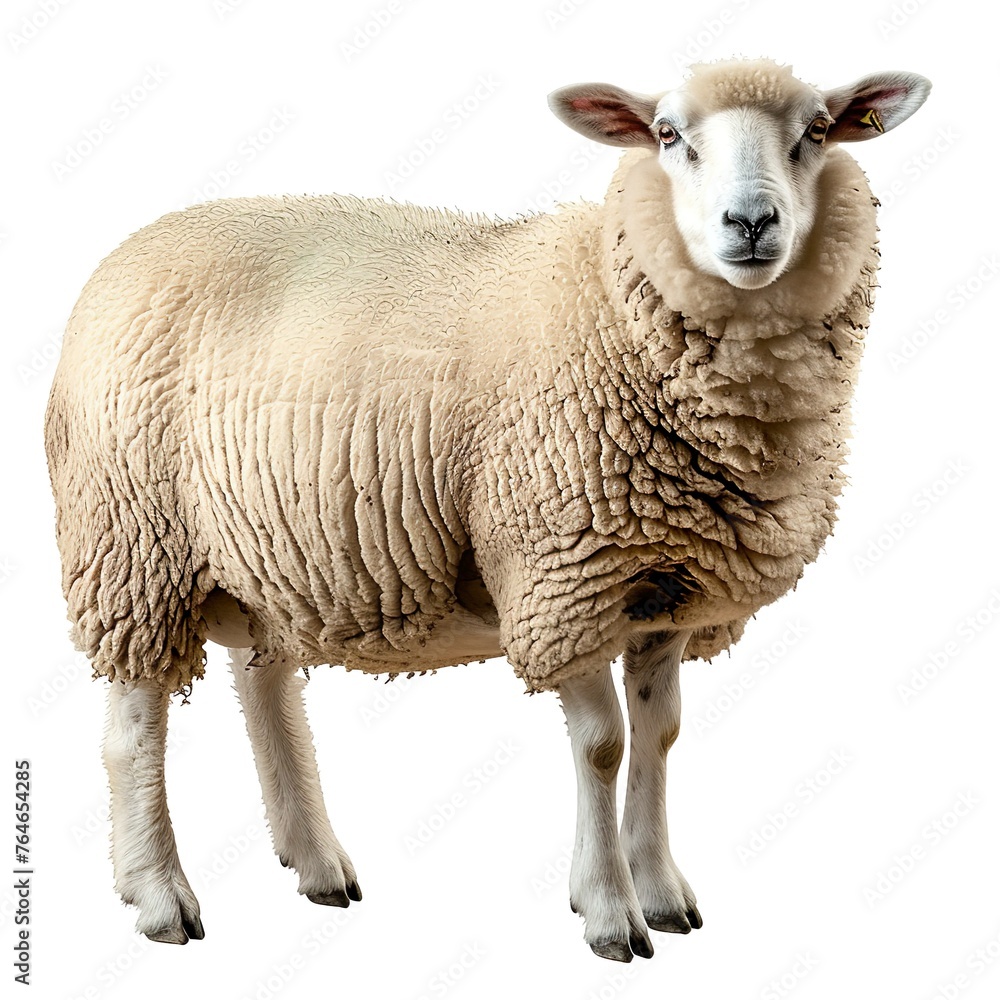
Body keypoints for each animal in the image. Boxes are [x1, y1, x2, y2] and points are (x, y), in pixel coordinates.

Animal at [44, 57, 930, 961]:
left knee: (265, 690)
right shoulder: (559, 580)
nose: (750, 222)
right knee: (133, 729)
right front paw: (608, 910)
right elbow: (603, 745)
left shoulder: (665, 590)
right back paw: (159, 895)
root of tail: (125, 251)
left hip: (267, 548)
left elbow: (661, 735)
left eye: (816, 132)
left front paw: (660, 891)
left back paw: (317, 863)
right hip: (132, 545)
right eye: (667, 135)